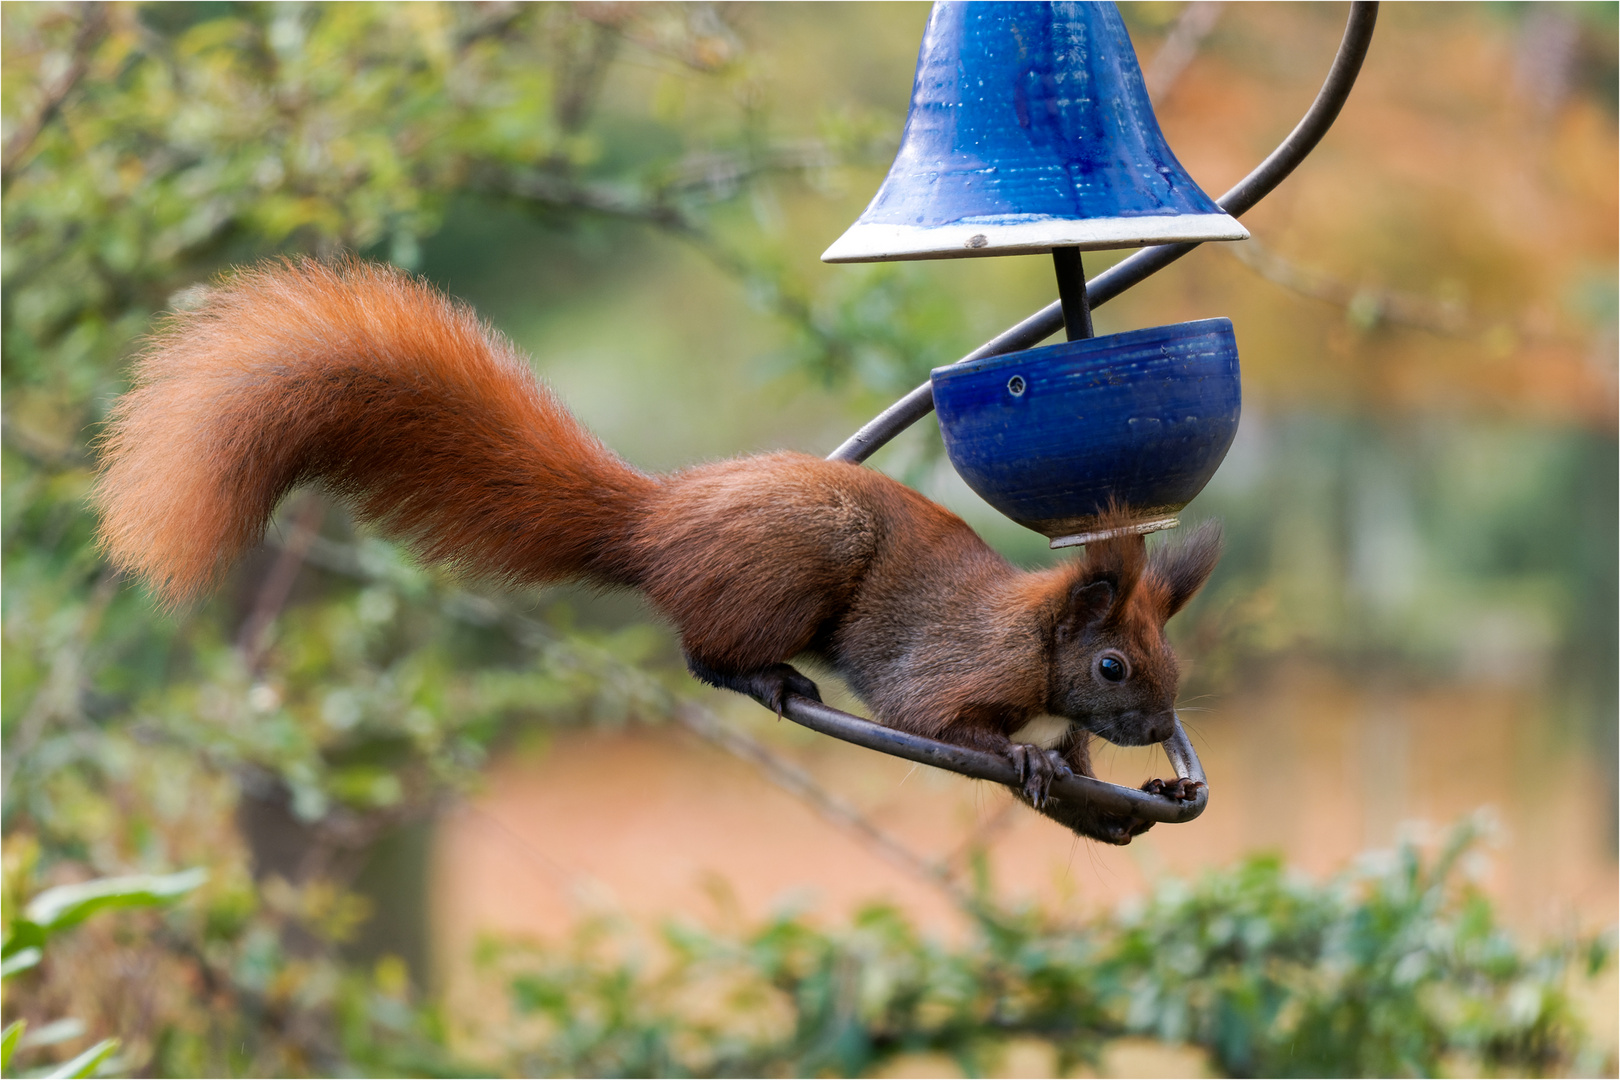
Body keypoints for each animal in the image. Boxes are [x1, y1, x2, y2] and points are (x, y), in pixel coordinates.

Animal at [94, 259, 1218, 841]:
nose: (1161, 725)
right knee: (702, 655)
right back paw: (767, 678)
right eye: (1111, 665)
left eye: (1170, 660)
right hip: (791, 570)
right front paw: (1024, 754)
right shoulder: (953, 667)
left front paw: (1132, 791)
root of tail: (653, 523)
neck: (1035, 642)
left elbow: (1082, 780)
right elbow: (928, 718)